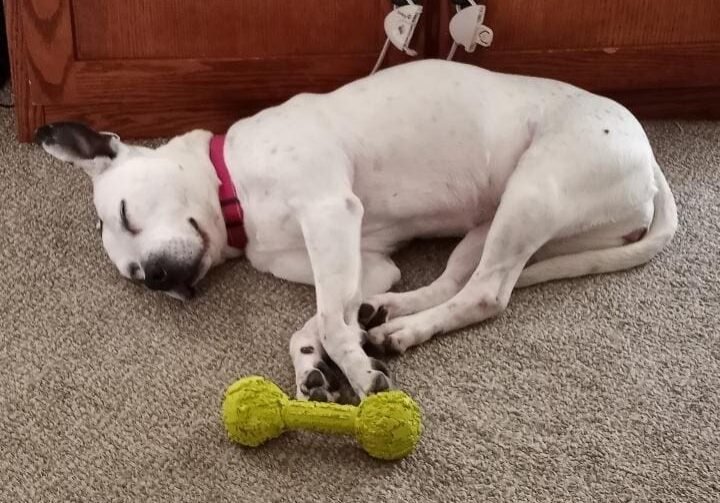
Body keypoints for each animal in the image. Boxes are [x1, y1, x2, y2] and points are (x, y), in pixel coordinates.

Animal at [35, 61, 676, 404]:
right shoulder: (366, 257)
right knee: (457, 281)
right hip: (494, 220)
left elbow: (326, 316)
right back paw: (387, 314)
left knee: (489, 292)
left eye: (126, 215)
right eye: (133, 275)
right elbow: (321, 317)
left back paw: (401, 332)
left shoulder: (329, 213)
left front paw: (358, 371)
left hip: (532, 193)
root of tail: (650, 165)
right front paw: (312, 367)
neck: (233, 189)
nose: (159, 278)